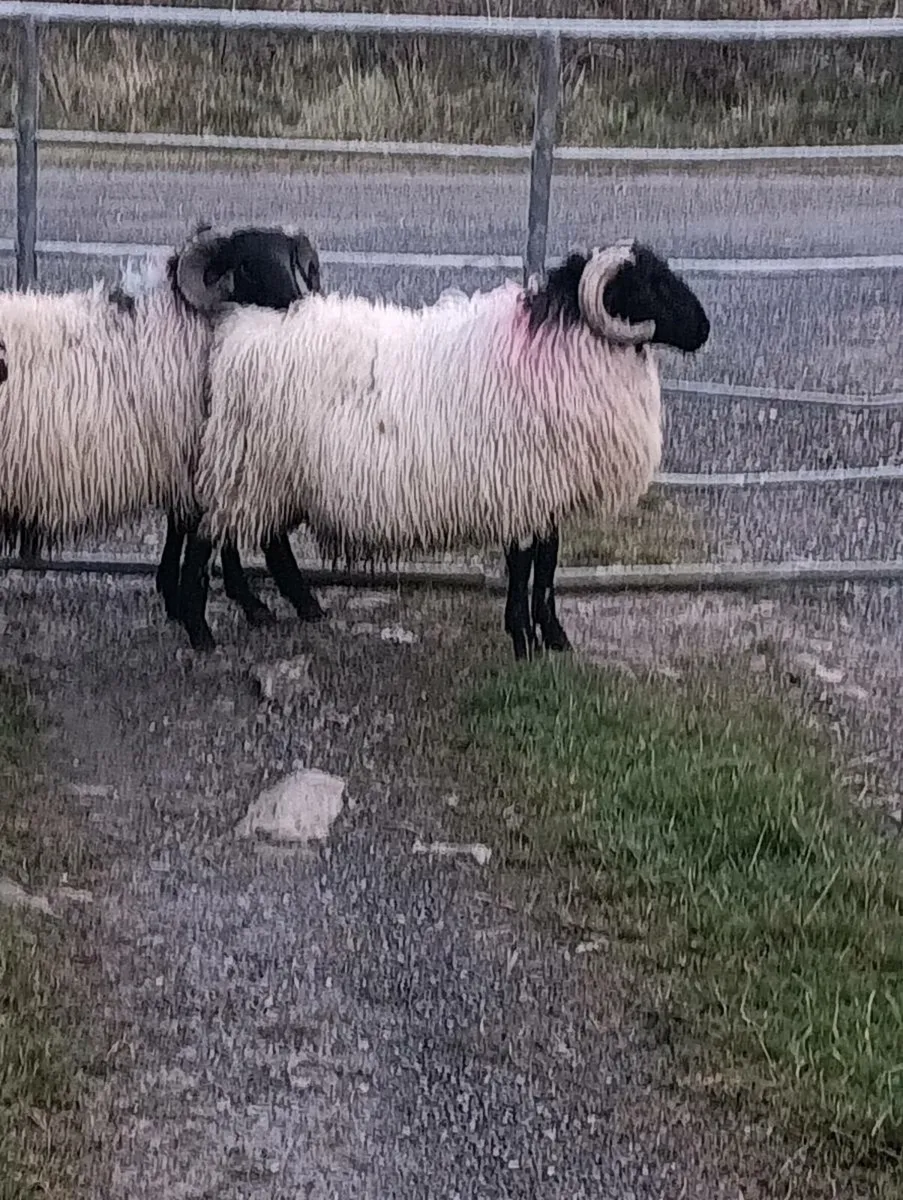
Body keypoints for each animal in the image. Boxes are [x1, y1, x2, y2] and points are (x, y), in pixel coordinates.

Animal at [0, 223, 326, 633]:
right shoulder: (204, 453)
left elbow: (186, 528)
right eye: (246, 266)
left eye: (290, 260)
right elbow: (213, 531)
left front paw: (180, 595)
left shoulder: (194, 456)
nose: (294, 305)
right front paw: (257, 601)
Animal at [178, 239, 710, 657]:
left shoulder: (544, 491)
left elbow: (547, 563)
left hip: (265, 470)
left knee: (262, 539)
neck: (558, 344)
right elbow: (523, 564)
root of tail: (244, 325)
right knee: (211, 537)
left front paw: (554, 637)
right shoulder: (520, 486)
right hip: (248, 463)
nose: (704, 329)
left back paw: (295, 607)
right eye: (649, 286)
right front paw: (523, 640)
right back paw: (199, 626)